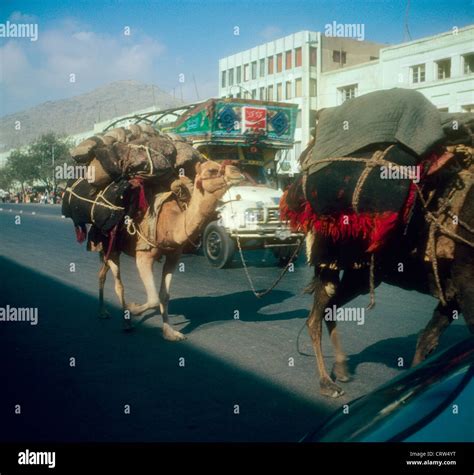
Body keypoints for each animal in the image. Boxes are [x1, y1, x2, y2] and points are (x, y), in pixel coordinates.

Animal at [97, 162, 243, 340]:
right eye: (211, 170)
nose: (238, 172)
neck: (171, 226)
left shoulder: (174, 256)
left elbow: (164, 296)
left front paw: (170, 333)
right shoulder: (143, 257)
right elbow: (153, 299)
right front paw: (133, 308)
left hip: (110, 250)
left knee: (102, 273)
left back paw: (103, 312)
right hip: (110, 246)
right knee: (119, 284)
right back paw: (125, 322)